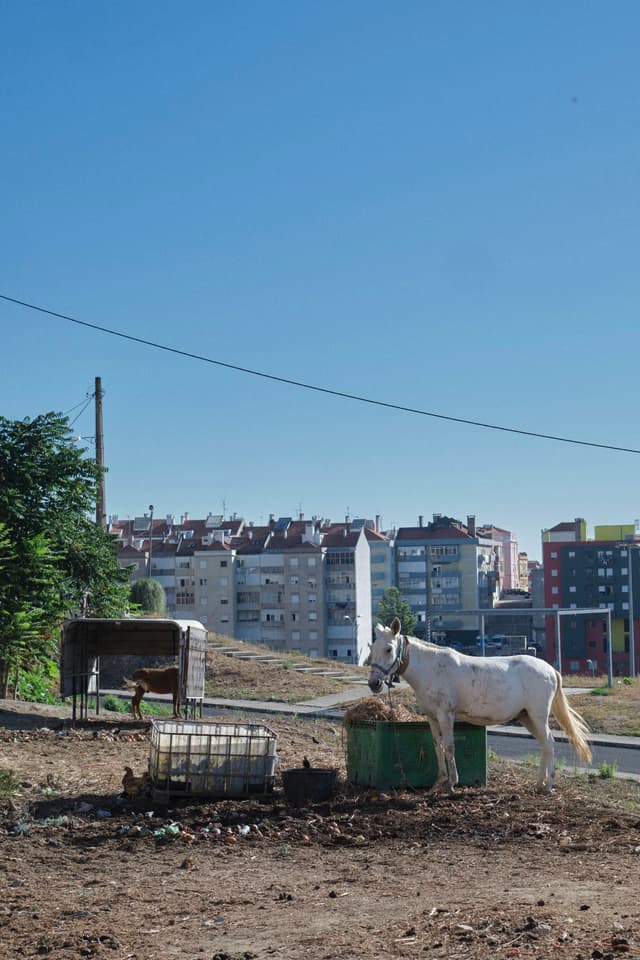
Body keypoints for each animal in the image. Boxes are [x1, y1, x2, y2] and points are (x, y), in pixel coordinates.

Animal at [368, 617, 592, 794]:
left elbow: (449, 746)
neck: (430, 669)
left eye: (389, 649)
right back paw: (539, 784)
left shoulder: (445, 714)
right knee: (544, 745)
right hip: (526, 716)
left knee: (550, 743)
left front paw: (451, 783)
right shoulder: (431, 716)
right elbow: (437, 746)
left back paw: (548, 786)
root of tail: (551, 670)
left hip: (538, 715)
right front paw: (439, 781)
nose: (374, 683)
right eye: (372, 648)